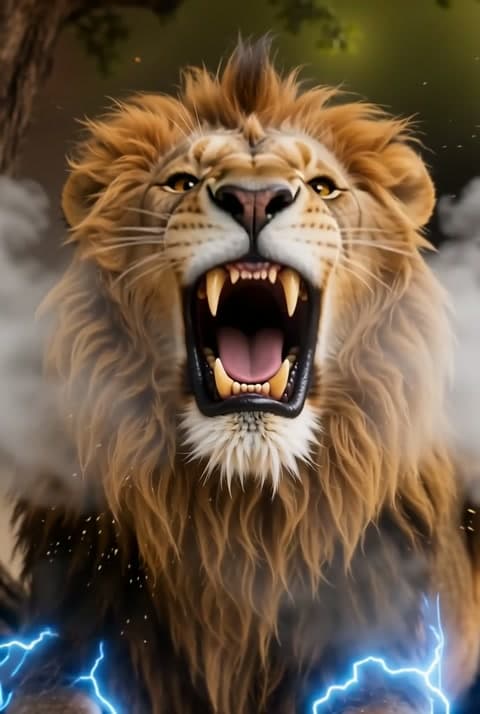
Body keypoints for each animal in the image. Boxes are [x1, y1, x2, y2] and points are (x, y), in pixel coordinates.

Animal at [7, 38, 480, 714]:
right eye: (181, 181)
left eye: (324, 187)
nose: (255, 198)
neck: (245, 509)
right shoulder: (70, 637)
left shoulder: (390, 653)